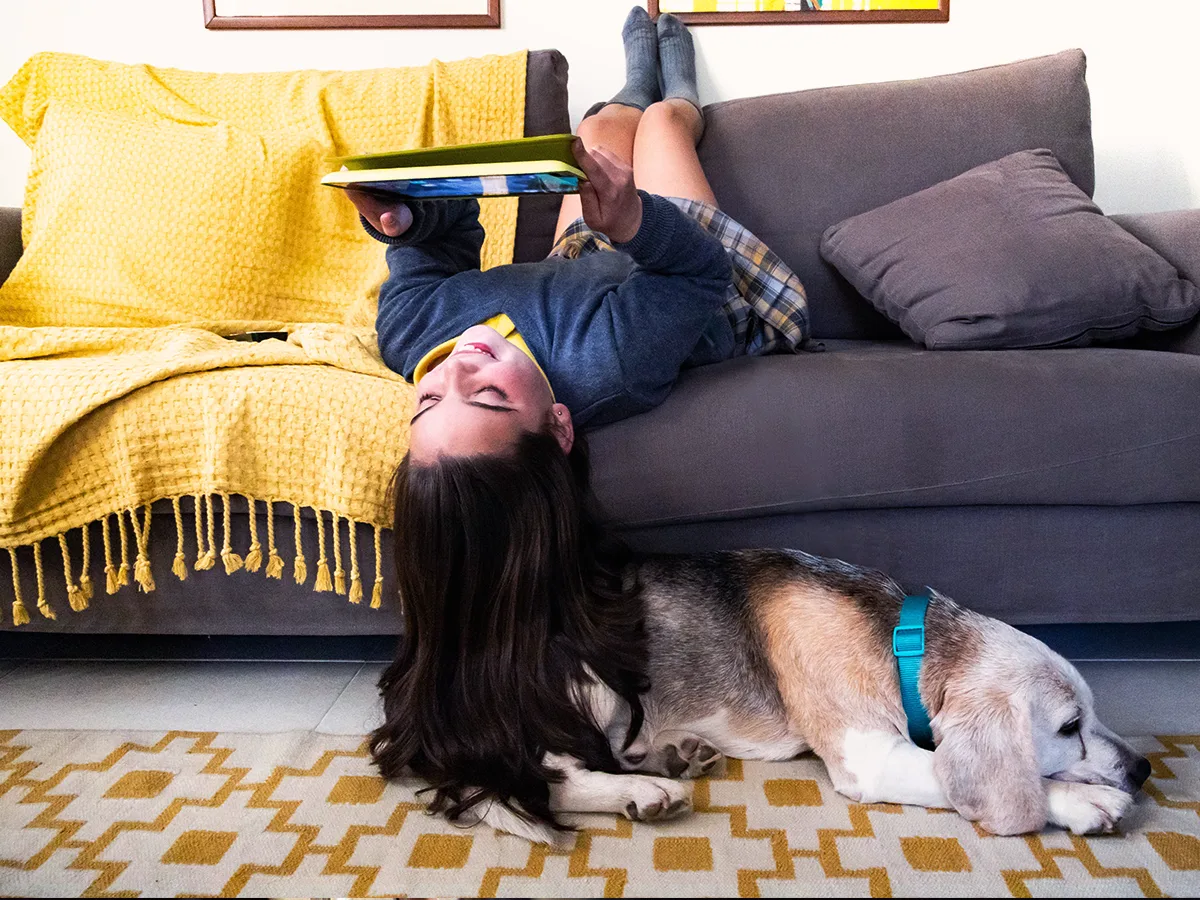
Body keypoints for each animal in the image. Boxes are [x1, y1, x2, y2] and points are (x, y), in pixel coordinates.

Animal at [468, 547, 1152, 849]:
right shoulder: (872, 757)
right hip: (594, 680)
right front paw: (1083, 800)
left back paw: (671, 756)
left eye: (1094, 710)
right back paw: (643, 790)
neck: (900, 639)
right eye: (1068, 727)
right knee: (553, 778)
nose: (1145, 768)